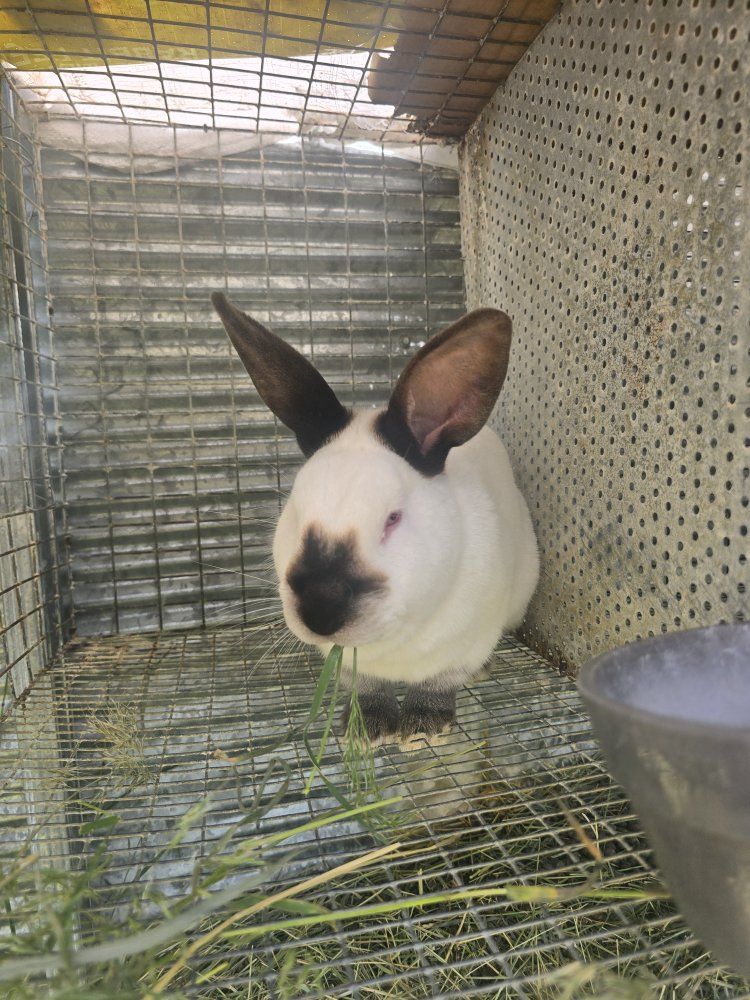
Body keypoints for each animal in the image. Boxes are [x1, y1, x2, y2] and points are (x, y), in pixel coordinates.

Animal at [212, 292, 539, 745]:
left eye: (393, 518)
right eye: (295, 508)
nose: (320, 612)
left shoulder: (465, 643)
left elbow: (439, 683)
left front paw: (423, 727)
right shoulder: (351, 664)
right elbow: (366, 688)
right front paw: (368, 729)